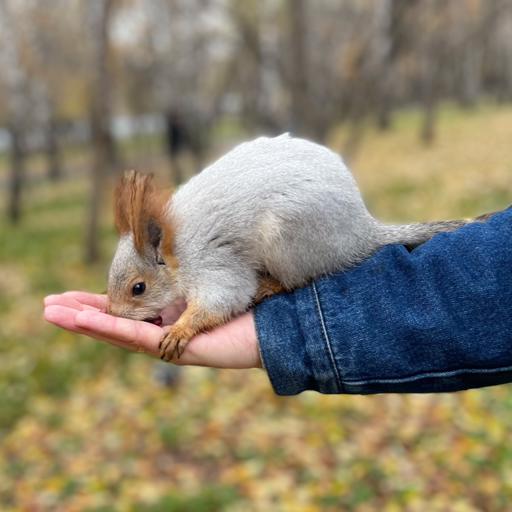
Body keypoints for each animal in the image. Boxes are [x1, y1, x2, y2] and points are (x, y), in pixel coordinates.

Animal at [107, 134, 480, 362]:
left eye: (138, 288)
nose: (112, 313)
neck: (177, 252)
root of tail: (359, 233)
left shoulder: (213, 264)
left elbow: (223, 299)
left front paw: (180, 329)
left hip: (287, 240)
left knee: (295, 280)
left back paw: (268, 286)